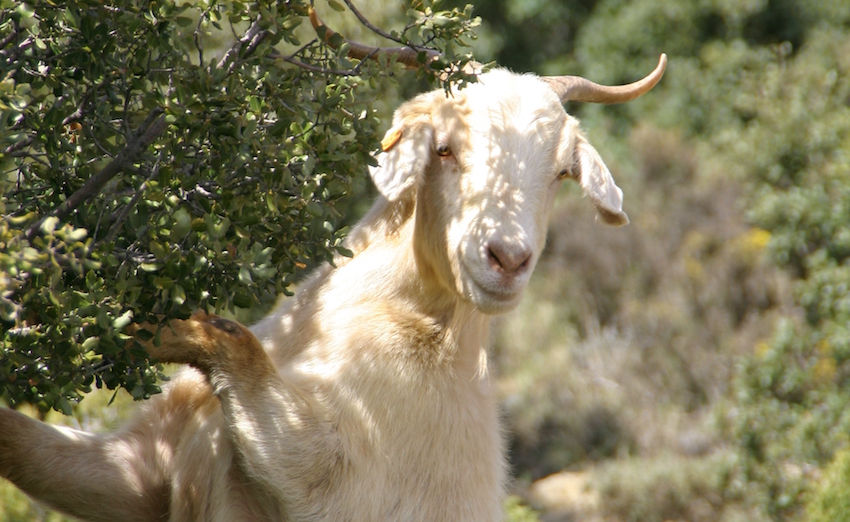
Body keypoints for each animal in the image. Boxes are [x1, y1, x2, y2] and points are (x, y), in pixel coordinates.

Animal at [0, 27, 664, 516]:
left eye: (560, 173)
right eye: (445, 149)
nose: (508, 259)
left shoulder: (334, 471)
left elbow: (231, 341)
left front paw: (145, 326)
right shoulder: (139, 470)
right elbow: (36, 452)